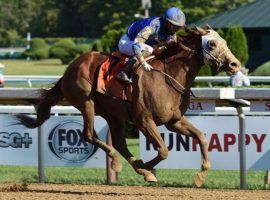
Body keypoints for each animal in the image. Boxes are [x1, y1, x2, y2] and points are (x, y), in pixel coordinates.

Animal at [15, 25, 240, 187]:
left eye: (225, 42)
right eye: (212, 44)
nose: (235, 64)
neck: (169, 77)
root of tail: (70, 68)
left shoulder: (173, 121)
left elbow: (201, 137)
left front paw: (200, 176)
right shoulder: (144, 120)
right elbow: (163, 150)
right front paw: (146, 166)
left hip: (113, 114)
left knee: (119, 142)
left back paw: (133, 166)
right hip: (86, 102)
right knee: (89, 135)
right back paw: (118, 162)